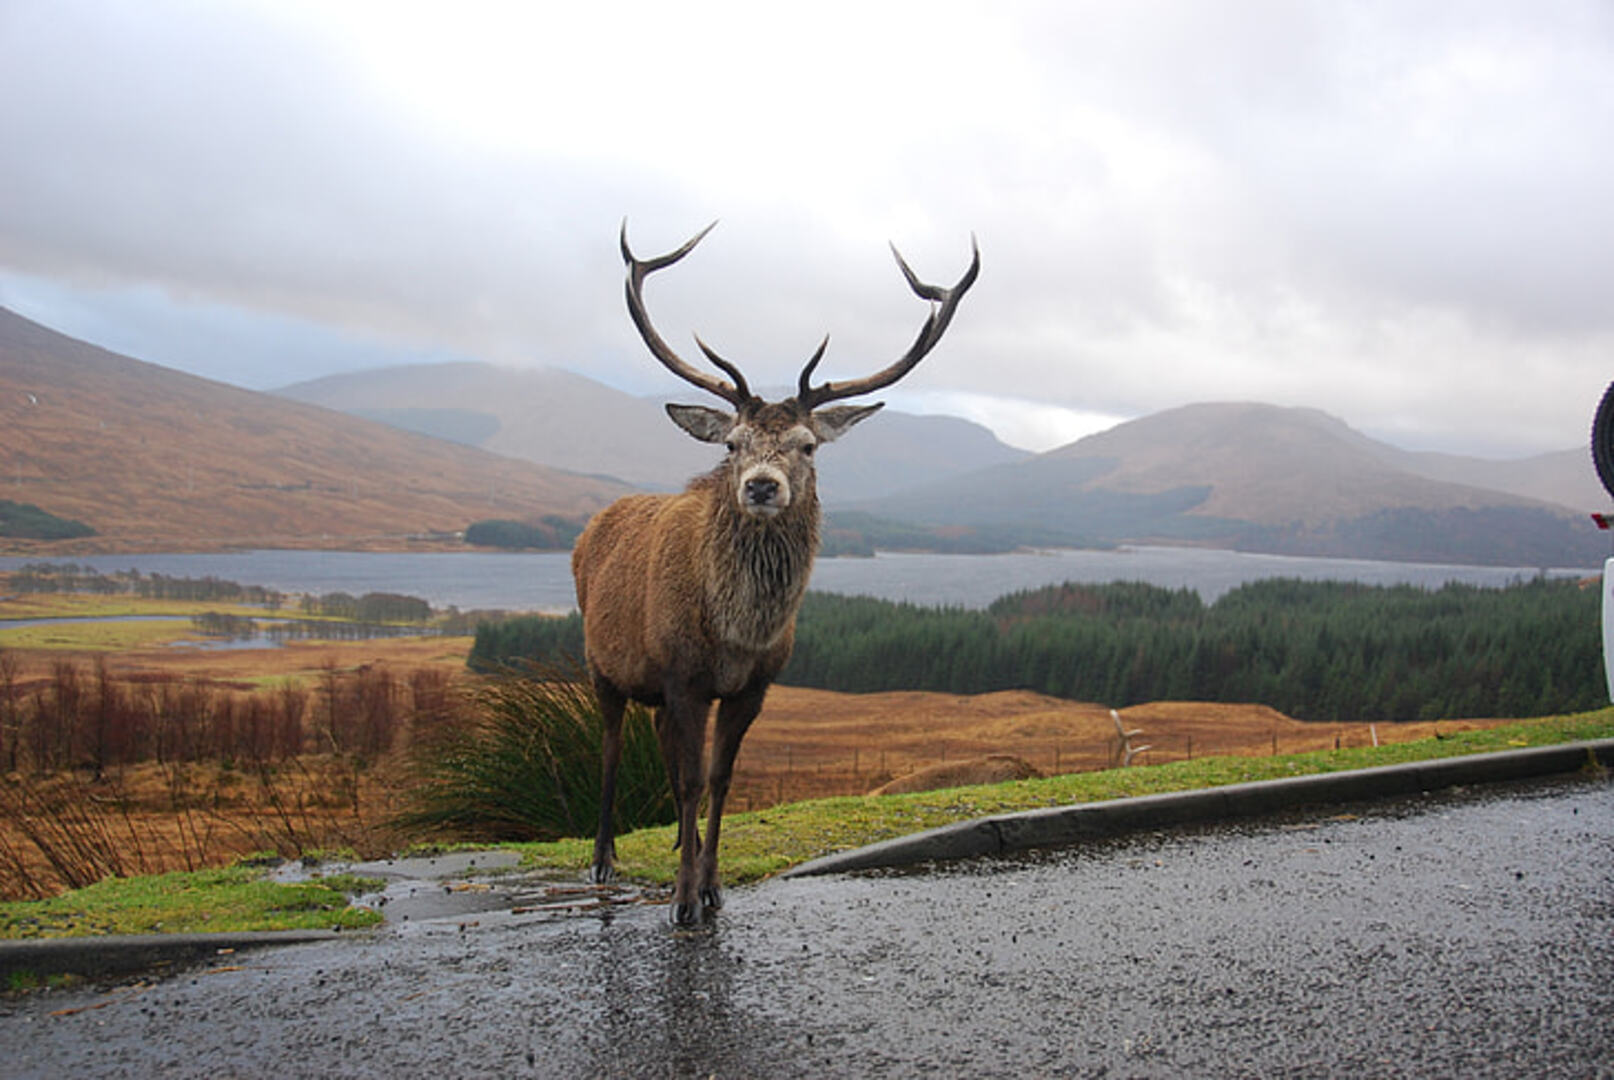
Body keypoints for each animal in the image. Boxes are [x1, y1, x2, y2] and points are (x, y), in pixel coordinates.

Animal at [572, 221, 979, 924]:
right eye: (733, 444)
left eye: (807, 445)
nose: (762, 486)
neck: (736, 634)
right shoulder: (681, 674)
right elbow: (690, 779)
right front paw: (682, 900)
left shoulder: (754, 686)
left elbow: (720, 779)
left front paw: (710, 884)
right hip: (602, 663)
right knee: (611, 747)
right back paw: (603, 859)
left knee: (660, 746)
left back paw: (678, 842)